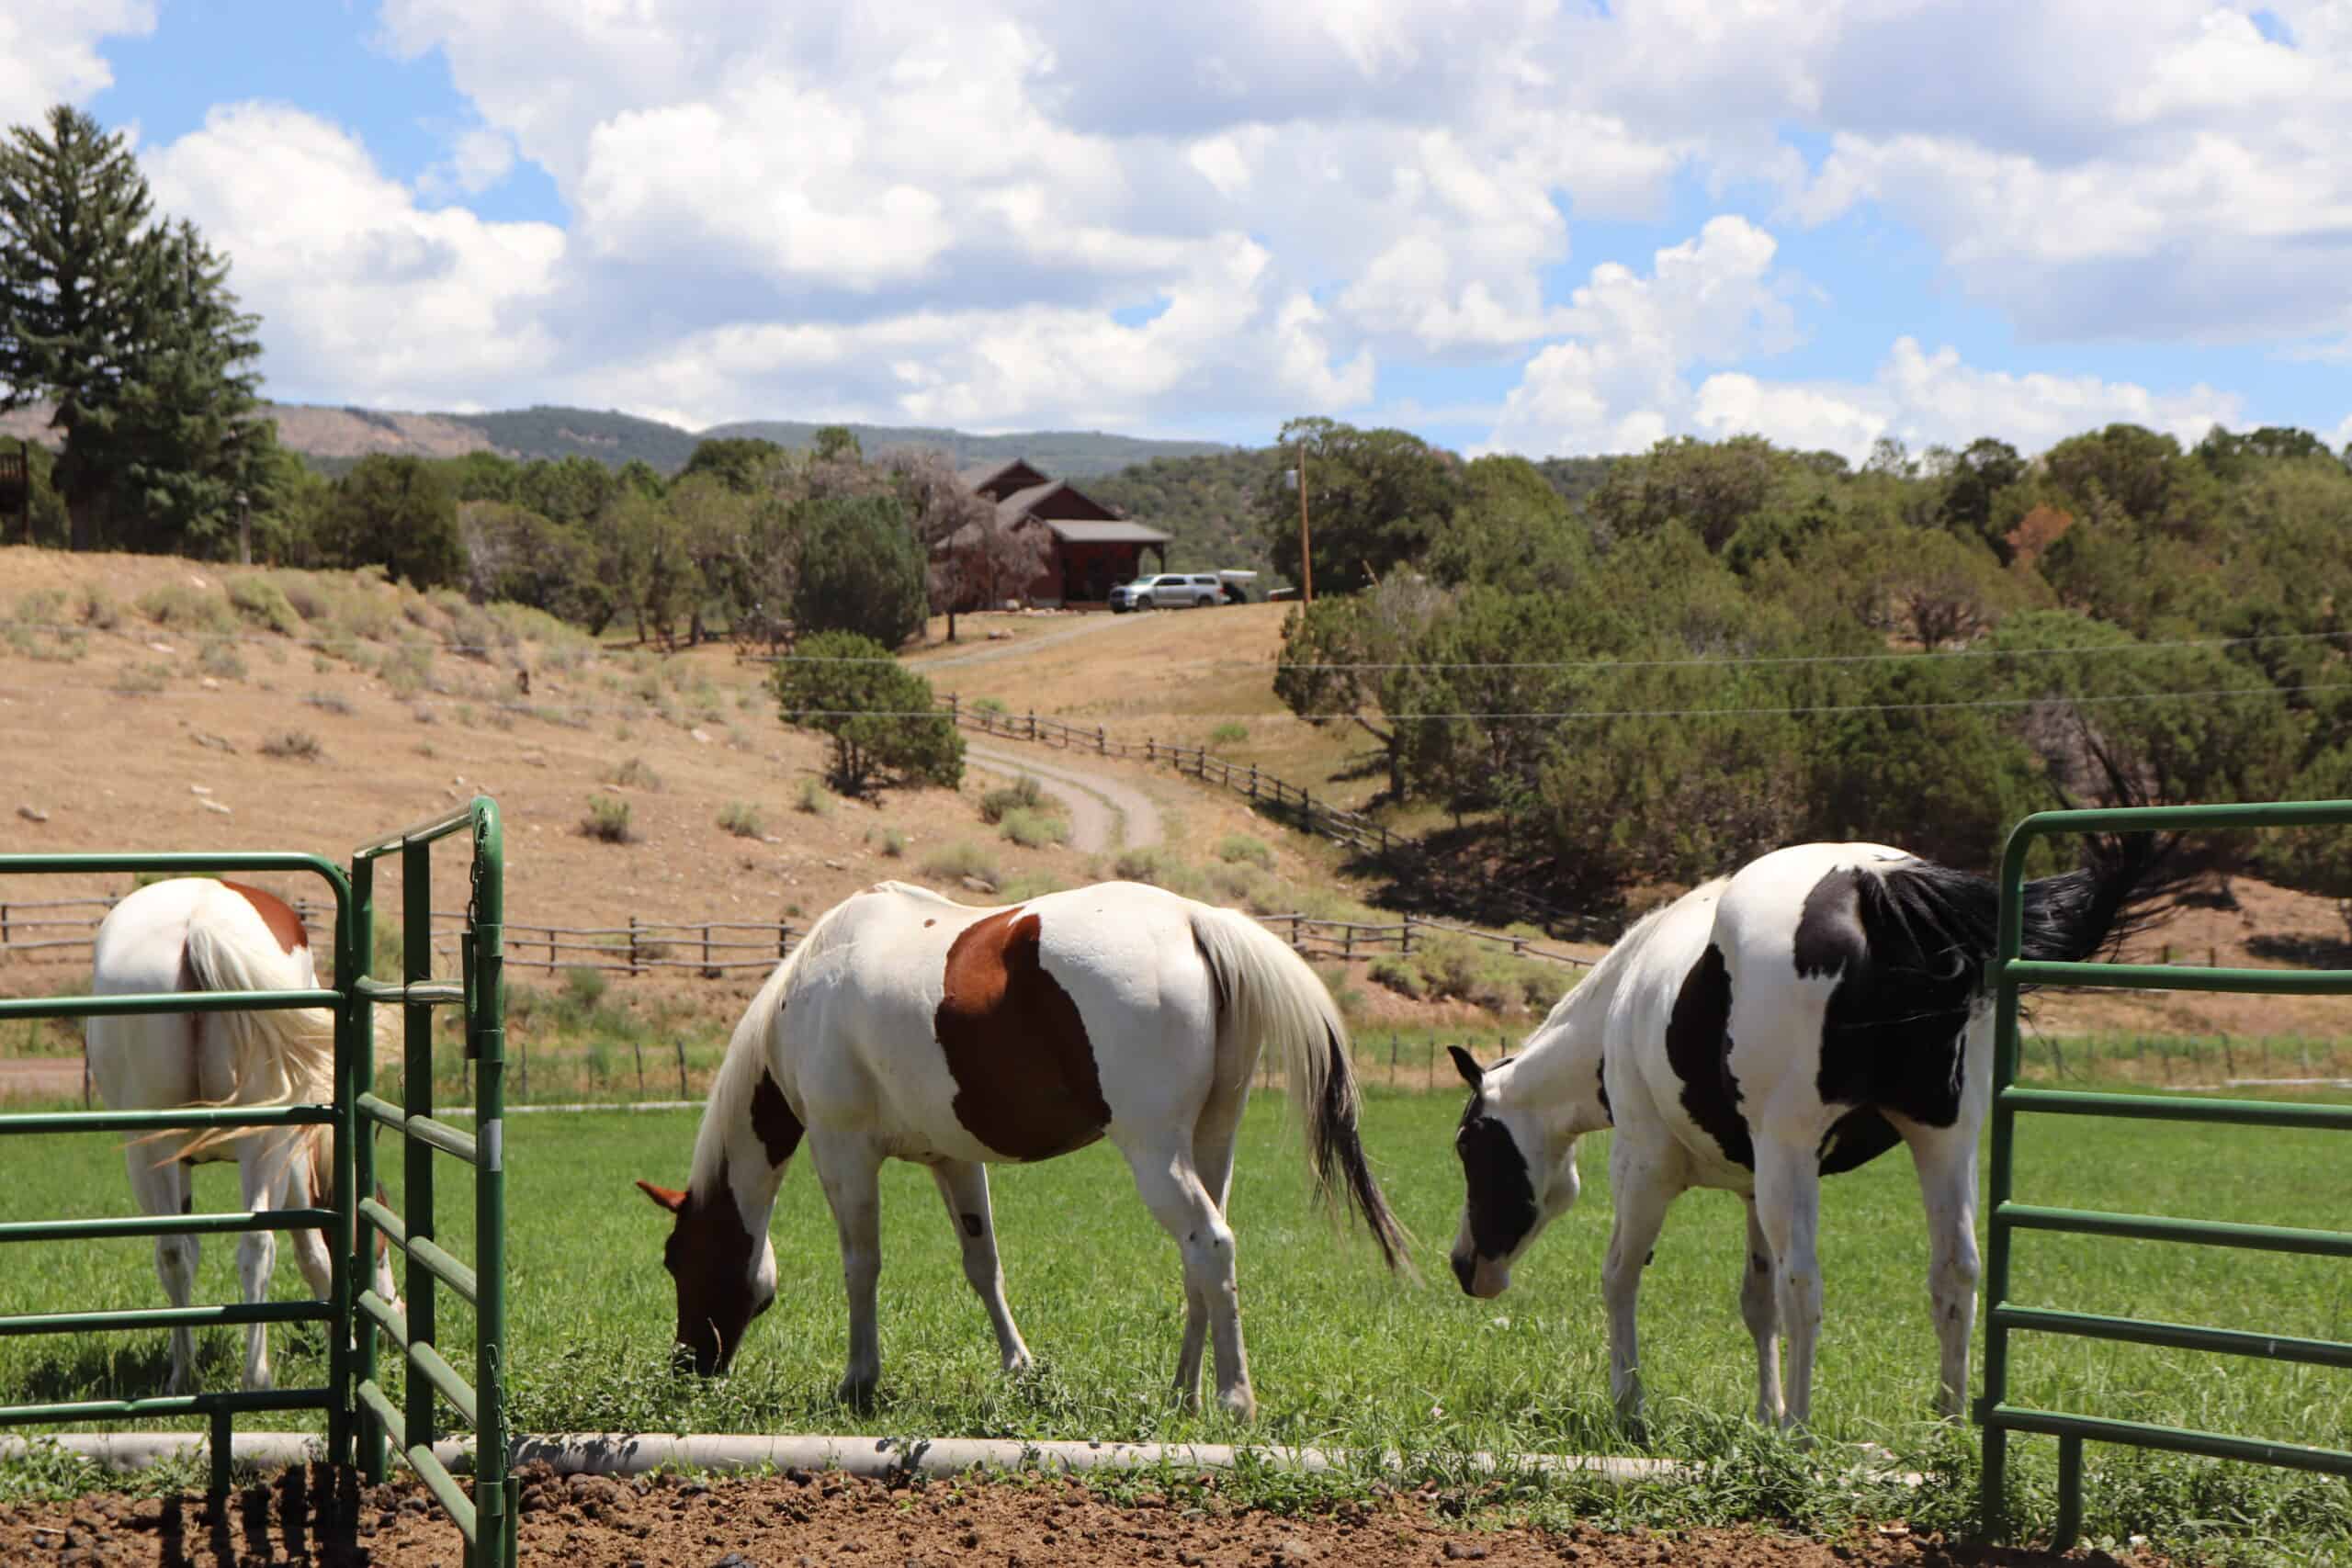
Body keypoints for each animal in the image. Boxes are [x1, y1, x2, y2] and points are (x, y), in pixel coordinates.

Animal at [85, 876, 400, 1394]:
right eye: (380, 1249)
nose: (394, 1319)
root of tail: (197, 924)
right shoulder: (295, 1157)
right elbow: (312, 1251)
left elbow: (187, 1251)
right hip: (264, 1144)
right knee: (257, 1248)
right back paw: (257, 1376)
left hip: (151, 1148)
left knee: (173, 1253)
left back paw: (184, 1374)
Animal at [638, 878, 1412, 1418]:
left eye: (676, 1259)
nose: (688, 1366)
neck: (810, 989)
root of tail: (1196, 919)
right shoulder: (955, 1159)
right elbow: (983, 1265)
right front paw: (1018, 1366)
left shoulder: (843, 1150)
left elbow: (862, 1266)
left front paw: (859, 1380)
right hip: (1210, 1145)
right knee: (1202, 1259)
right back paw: (1183, 1392)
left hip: (1155, 1153)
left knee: (1211, 1244)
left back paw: (1232, 1398)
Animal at [1444, 835, 2169, 1432]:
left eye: (1467, 1144)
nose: (1463, 1264)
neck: (1626, 1000)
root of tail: (1871, 885)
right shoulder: (1752, 1187)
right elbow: (1756, 1300)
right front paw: (1765, 1413)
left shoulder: (1645, 1166)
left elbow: (1621, 1276)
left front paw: (1632, 1406)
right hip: (1942, 1140)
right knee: (1955, 1272)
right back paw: (1947, 1420)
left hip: (1792, 1157)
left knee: (1806, 1284)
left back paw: (1802, 1431)